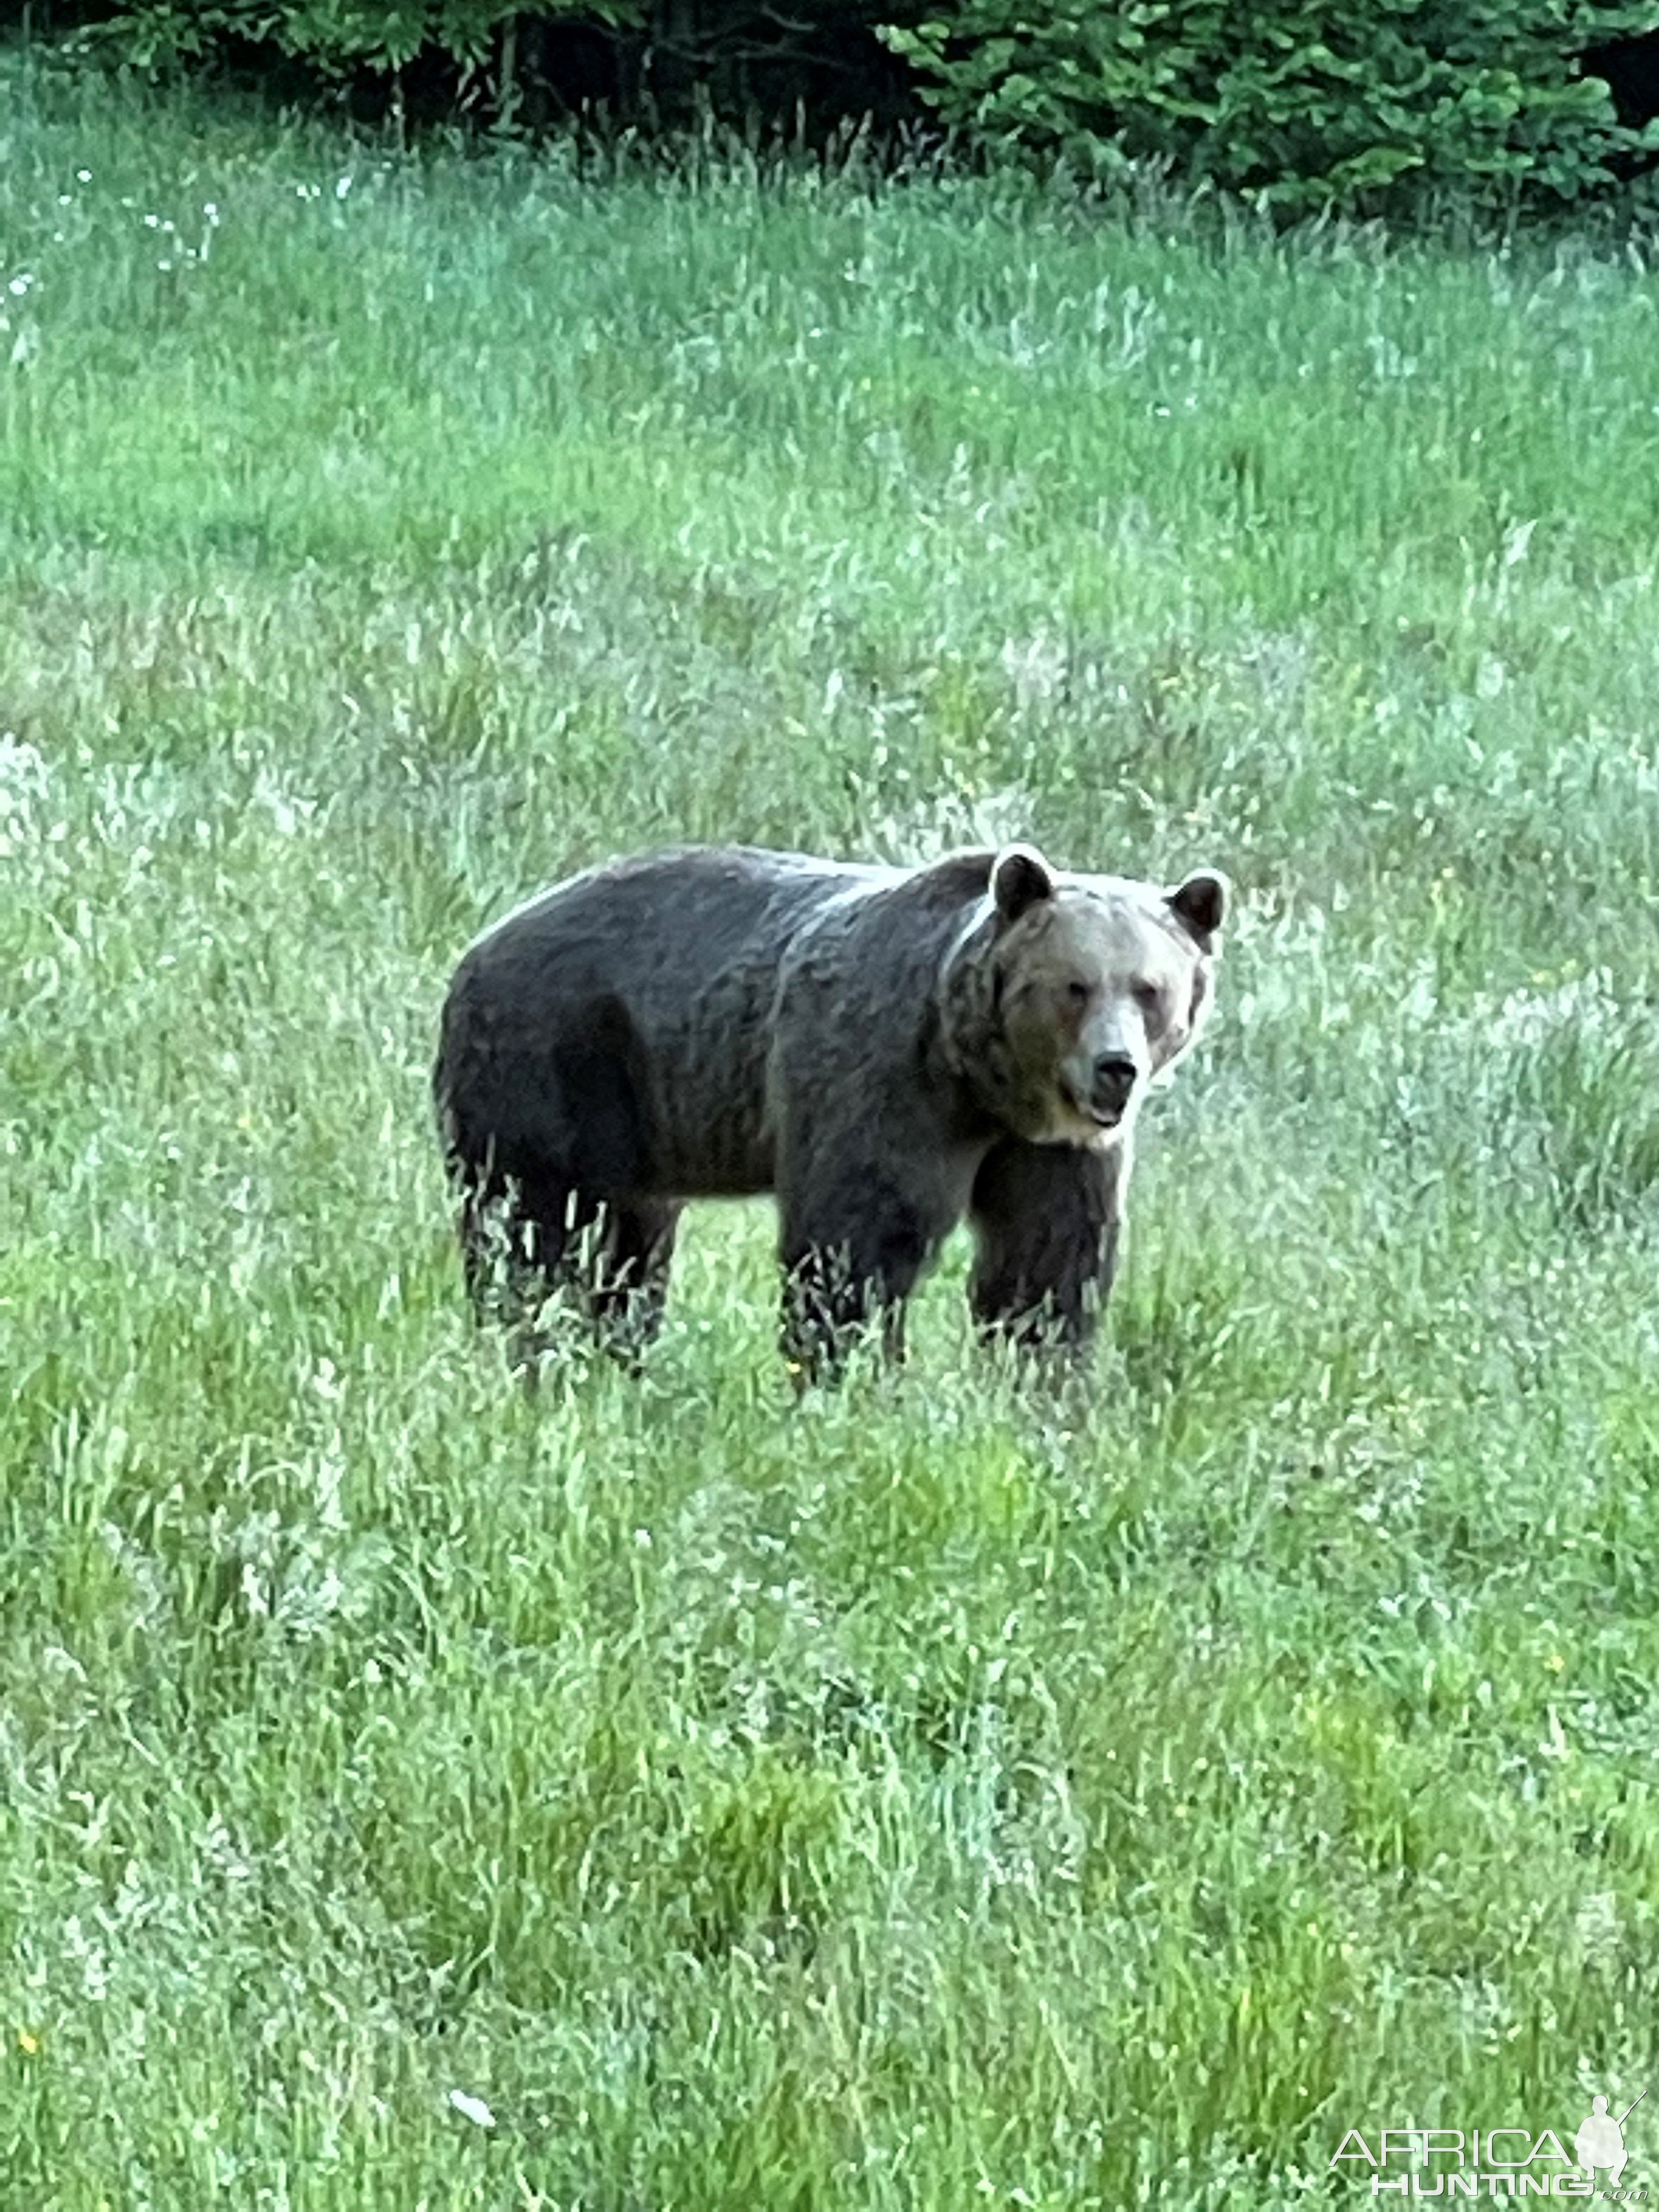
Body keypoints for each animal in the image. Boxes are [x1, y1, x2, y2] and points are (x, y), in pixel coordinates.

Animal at [436, 845, 1229, 1380]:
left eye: (1150, 988)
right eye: (1075, 985)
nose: (1116, 1068)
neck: (980, 1080)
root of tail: (478, 945)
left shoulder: (1047, 1148)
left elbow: (1047, 1261)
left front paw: (1037, 1380)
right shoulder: (881, 1077)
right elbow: (856, 1243)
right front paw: (851, 1375)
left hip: (639, 1129)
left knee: (631, 1246)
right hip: (554, 1063)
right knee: (531, 1229)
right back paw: (533, 1342)